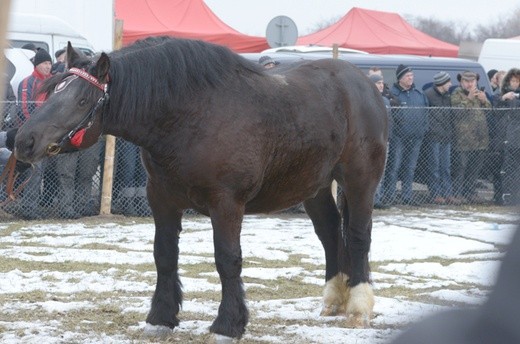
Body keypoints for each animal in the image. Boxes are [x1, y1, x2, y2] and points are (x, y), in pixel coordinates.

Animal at [13, 37, 386, 338]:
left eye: (81, 101)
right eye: (52, 92)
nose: (22, 140)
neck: (191, 115)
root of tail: (365, 85)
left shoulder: (226, 203)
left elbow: (227, 260)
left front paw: (228, 325)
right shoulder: (162, 199)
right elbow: (164, 255)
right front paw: (161, 318)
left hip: (359, 179)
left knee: (358, 236)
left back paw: (358, 307)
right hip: (315, 186)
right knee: (330, 233)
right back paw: (333, 301)